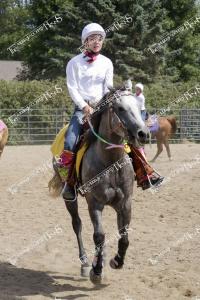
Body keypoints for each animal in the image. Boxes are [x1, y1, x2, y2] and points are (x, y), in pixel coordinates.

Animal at [50, 84, 148, 284]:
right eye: (120, 108)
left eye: (138, 104)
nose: (143, 133)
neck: (110, 163)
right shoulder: (94, 203)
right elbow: (99, 236)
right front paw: (96, 271)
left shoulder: (125, 203)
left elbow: (124, 237)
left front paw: (116, 261)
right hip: (69, 198)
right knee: (77, 225)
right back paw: (86, 262)